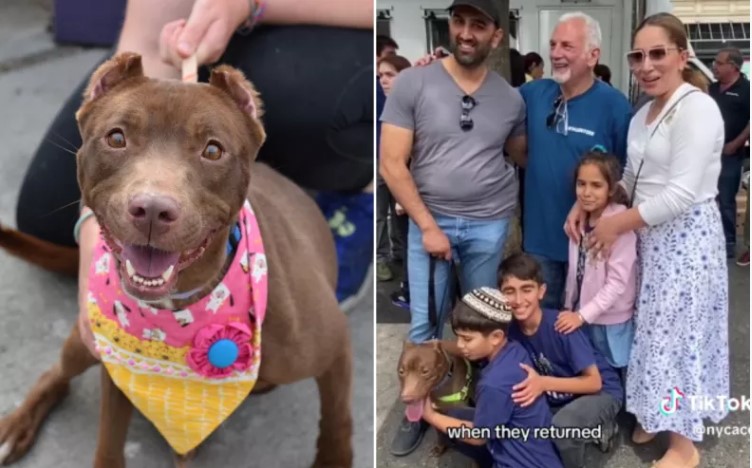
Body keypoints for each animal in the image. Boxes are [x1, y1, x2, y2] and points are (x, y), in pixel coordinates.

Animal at [0, 52, 354, 468]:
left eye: (213, 150)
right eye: (116, 138)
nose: (152, 210)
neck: (181, 306)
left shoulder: (335, 347)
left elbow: (337, 417)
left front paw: (333, 458)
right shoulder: (117, 371)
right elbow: (109, 440)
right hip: (82, 341)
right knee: (55, 373)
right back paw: (16, 426)